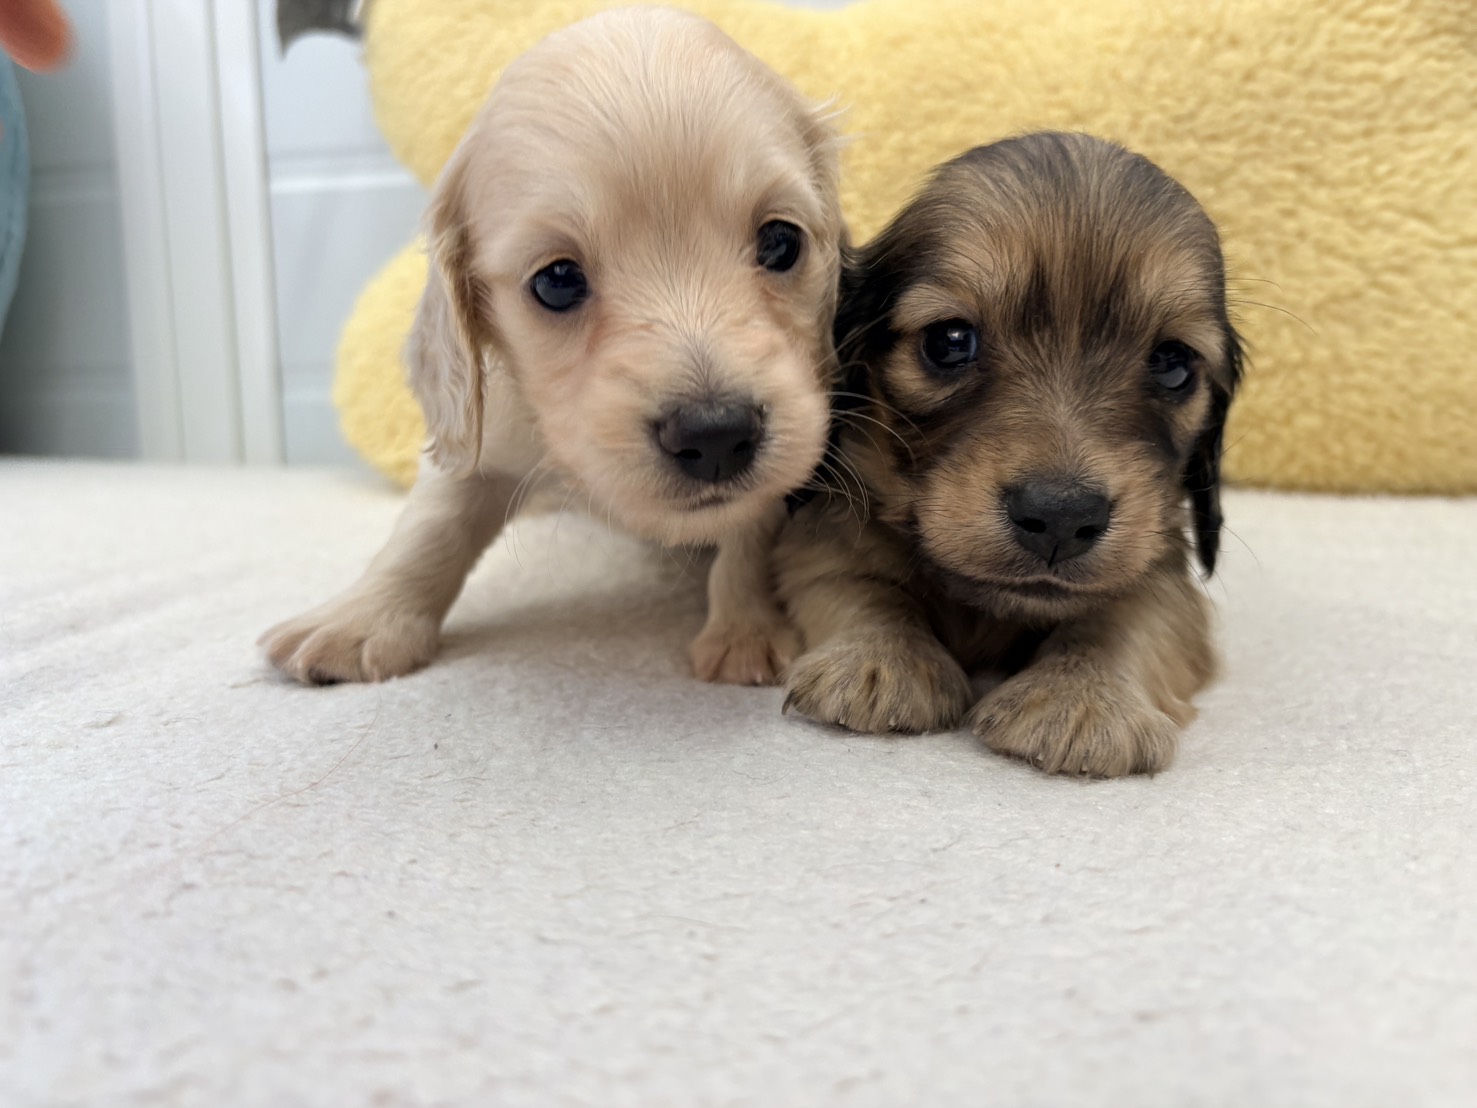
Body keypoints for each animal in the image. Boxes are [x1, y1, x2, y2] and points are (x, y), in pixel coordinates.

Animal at [261, 7, 843, 687]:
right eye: (557, 281)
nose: (716, 434)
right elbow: (432, 522)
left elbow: (752, 527)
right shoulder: (490, 432)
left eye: (781, 242)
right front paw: (360, 620)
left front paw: (746, 630)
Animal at [777, 131, 1242, 776]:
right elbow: (866, 588)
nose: (1062, 517)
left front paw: (1082, 699)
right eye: (949, 341)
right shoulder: (825, 538)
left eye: (1173, 363)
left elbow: (1121, 618)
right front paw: (878, 661)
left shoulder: (1162, 570)